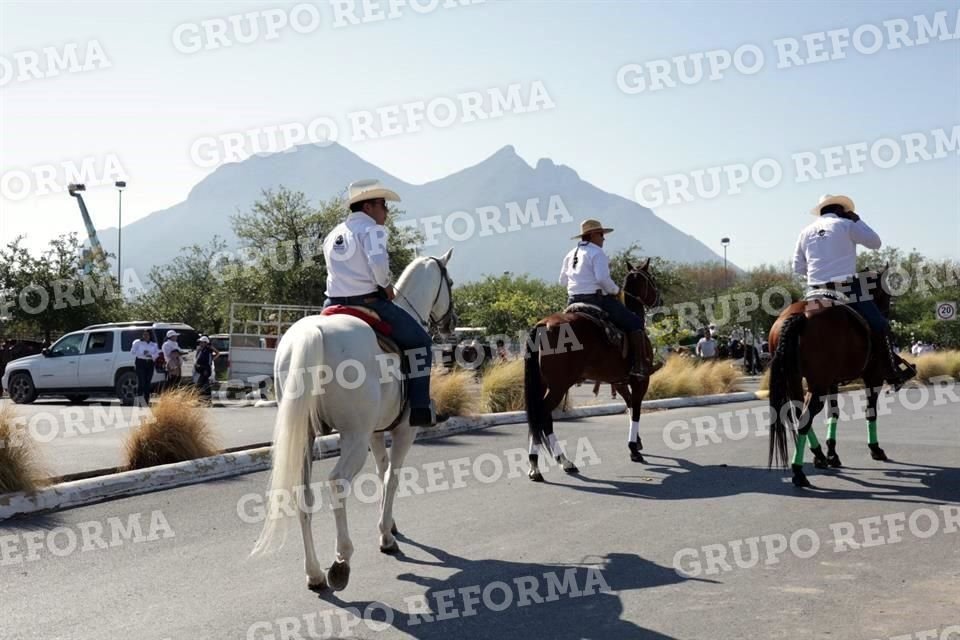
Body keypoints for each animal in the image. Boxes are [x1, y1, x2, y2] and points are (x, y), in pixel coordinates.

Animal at [249, 250, 456, 592]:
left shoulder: (375, 433)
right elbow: (392, 476)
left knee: (303, 495)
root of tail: (313, 333)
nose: (452, 322)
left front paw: (390, 525)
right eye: (449, 282)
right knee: (337, 483)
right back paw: (340, 562)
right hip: (353, 438)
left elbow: (382, 470)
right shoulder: (404, 430)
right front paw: (386, 536)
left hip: (307, 438)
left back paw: (314, 573)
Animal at [524, 258, 660, 480]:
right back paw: (562, 461)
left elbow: (630, 406)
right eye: (651, 278)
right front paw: (633, 449)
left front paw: (637, 443)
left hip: (542, 384)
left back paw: (537, 465)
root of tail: (542, 326)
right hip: (558, 386)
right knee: (543, 415)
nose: (659, 299)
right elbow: (637, 409)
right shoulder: (640, 379)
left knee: (537, 417)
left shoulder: (619, 381)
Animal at [764, 268, 900, 488]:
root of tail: (800, 315)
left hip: (796, 379)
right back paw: (798, 471)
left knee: (800, 413)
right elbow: (870, 412)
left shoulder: (832, 381)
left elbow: (833, 413)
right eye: (886, 293)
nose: (886, 312)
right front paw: (875, 449)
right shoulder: (874, 378)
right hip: (817, 384)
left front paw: (831, 453)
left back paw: (818, 456)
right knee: (805, 418)